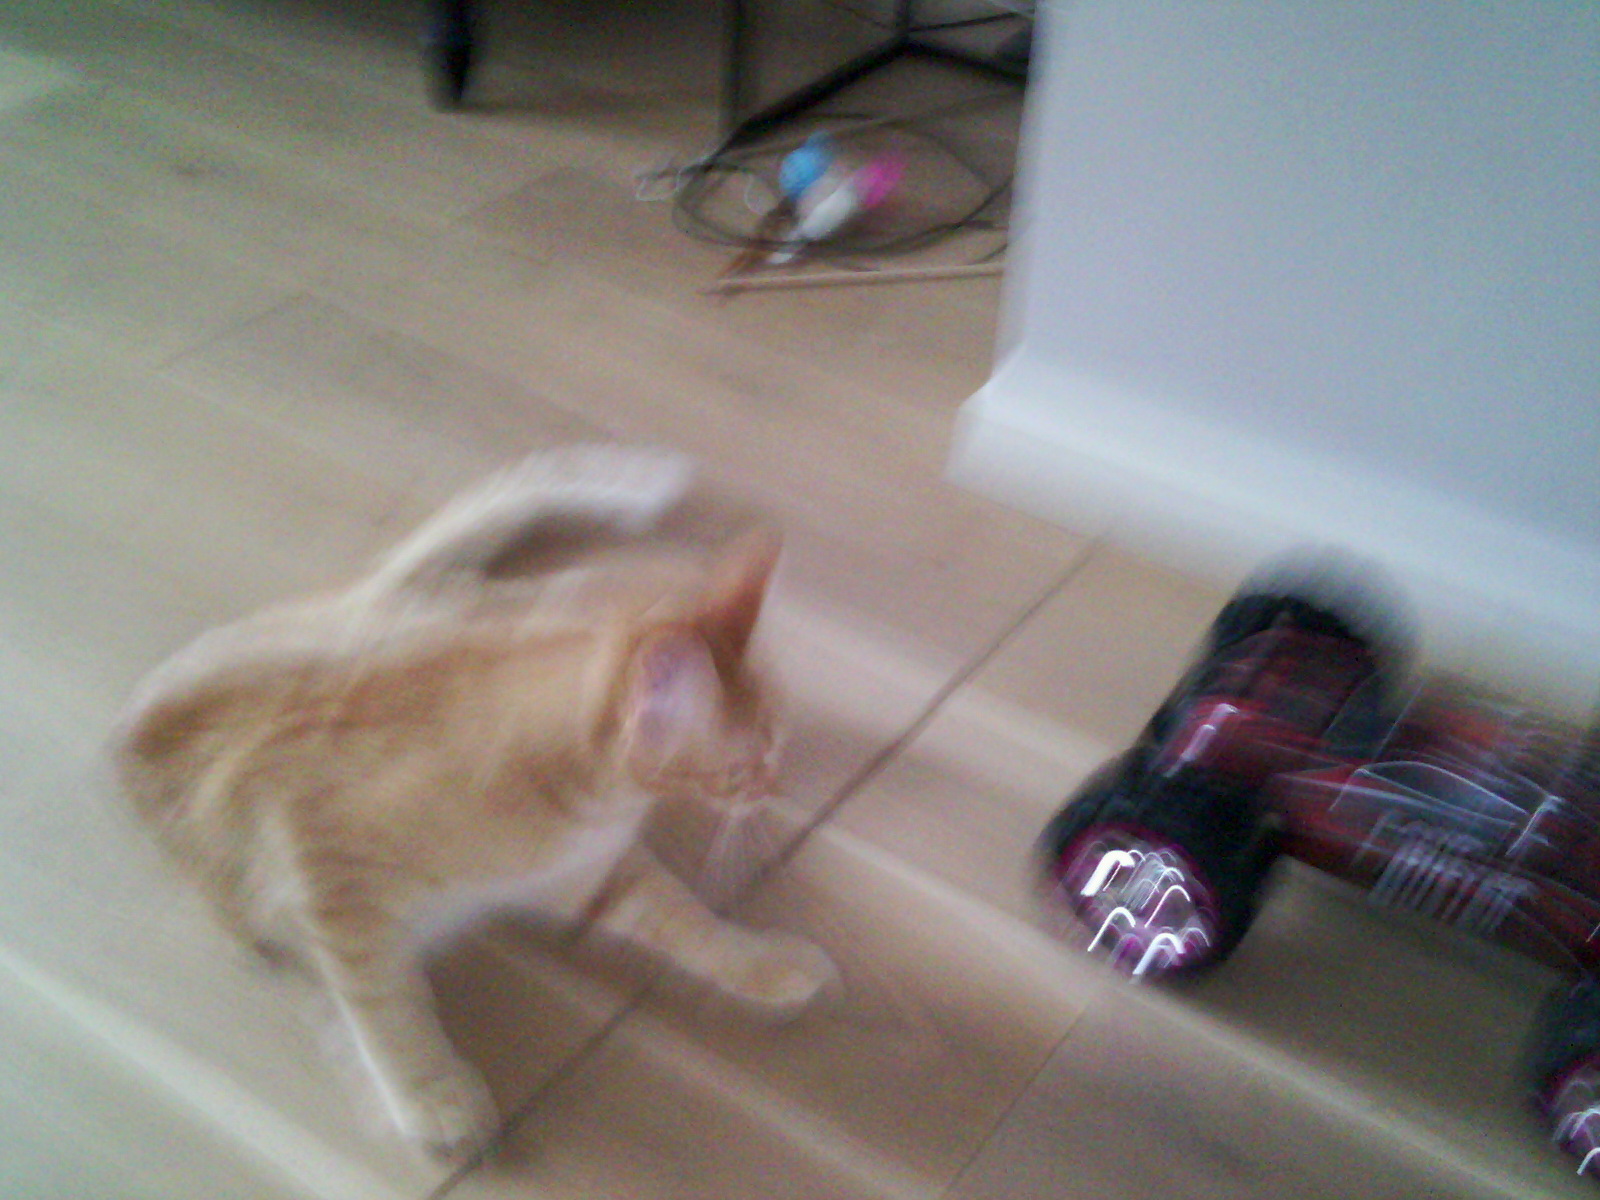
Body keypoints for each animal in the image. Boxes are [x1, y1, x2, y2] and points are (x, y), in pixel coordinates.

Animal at [112, 445, 837, 1160]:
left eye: (780, 743)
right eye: (753, 763)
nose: (781, 786)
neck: (587, 808)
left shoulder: (592, 874)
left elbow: (690, 920)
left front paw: (764, 963)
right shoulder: (326, 876)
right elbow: (383, 1004)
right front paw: (430, 1093)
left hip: (483, 607)